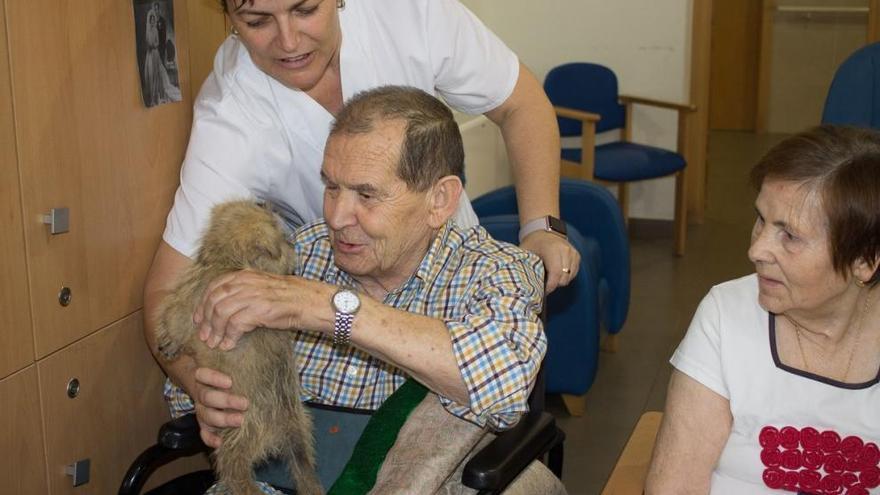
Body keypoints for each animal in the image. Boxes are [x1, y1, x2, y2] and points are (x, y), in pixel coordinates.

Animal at [155, 201, 324, 495]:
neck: (227, 261)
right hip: (299, 434)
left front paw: (168, 345)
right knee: (304, 470)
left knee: (237, 475)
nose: (293, 244)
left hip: (234, 441)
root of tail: (278, 426)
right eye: (284, 239)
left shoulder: (186, 307)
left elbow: (171, 322)